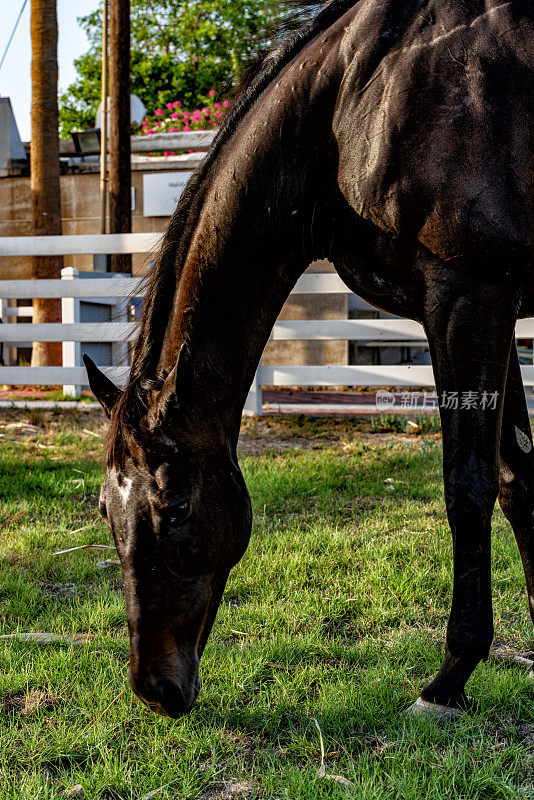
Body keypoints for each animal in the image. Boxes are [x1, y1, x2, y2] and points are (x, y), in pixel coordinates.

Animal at [86, 0, 534, 720]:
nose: (156, 689)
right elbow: (521, 480)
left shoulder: (470, 298)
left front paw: (449, 679)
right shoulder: (496, 307)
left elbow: (469, 487)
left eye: (176, 506)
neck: (350, 103)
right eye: (106, 510)